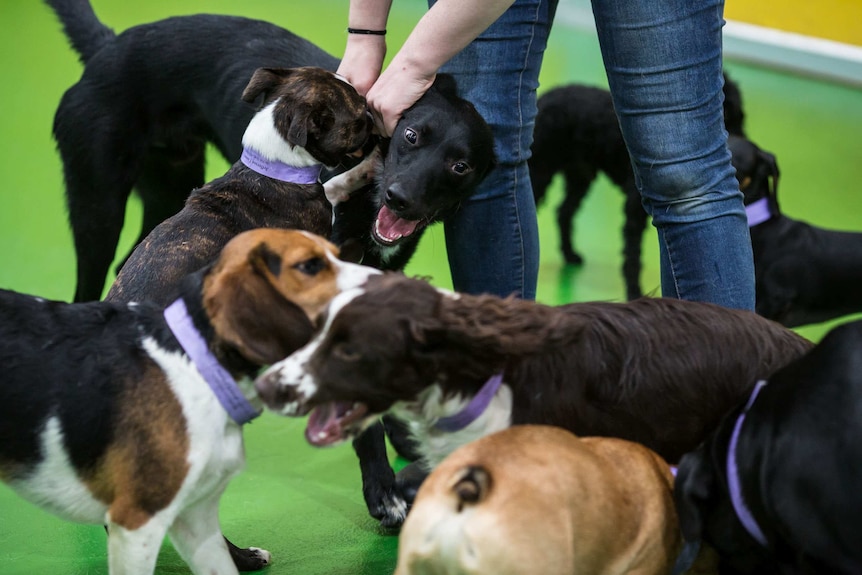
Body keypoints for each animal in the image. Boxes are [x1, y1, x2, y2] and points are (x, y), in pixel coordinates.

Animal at [0, 230, 382, 575]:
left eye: (336, 253)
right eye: (310, 266)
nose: (382, 281)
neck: (196, 362)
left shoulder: (195, 519)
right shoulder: (137, 525)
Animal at [528, 73, 744, 302]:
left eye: (738, 117)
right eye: (724, 115)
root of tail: (547, 96)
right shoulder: (633, 210)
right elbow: (633, 255)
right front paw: (634, 292)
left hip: (580, 175)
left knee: (564, 212)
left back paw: (569, 254)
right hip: (540, 170)